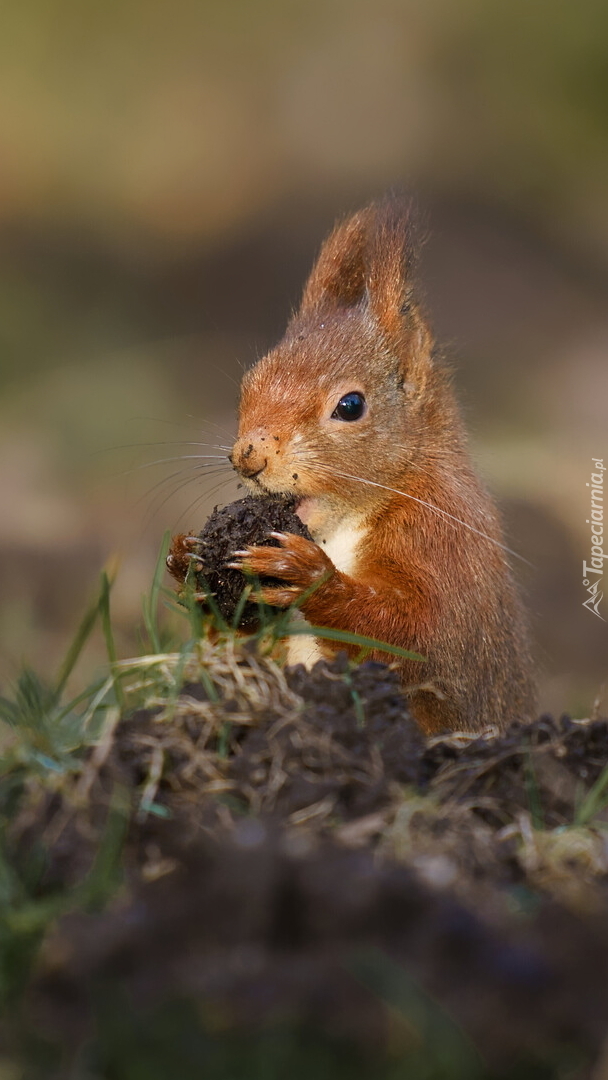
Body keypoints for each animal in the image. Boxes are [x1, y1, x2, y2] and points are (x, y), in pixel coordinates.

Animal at [170, 199, 533, 734]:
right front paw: (186, 561)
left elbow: (424, 637)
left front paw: (306, 576)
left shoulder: (446, 543)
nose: (248, 456)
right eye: (249, 382)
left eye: (351, 405)